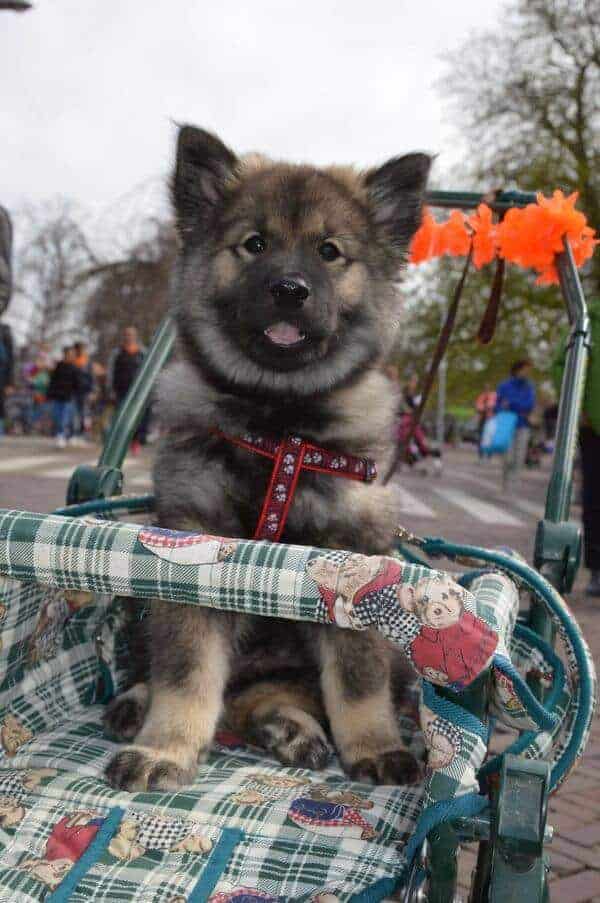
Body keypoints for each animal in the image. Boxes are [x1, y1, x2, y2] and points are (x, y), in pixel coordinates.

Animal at [104, 125, 432, 792]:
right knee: (189, 679)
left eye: (329, 252)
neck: (278, 426)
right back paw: (136, 704)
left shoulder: (353, 561)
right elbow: (186, 670)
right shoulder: (192, 551)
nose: (289, 290)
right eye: (254, 245)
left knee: (285, 696)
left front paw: (375, 747)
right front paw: (164, 748)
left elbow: (357, 678)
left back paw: (294, 730)